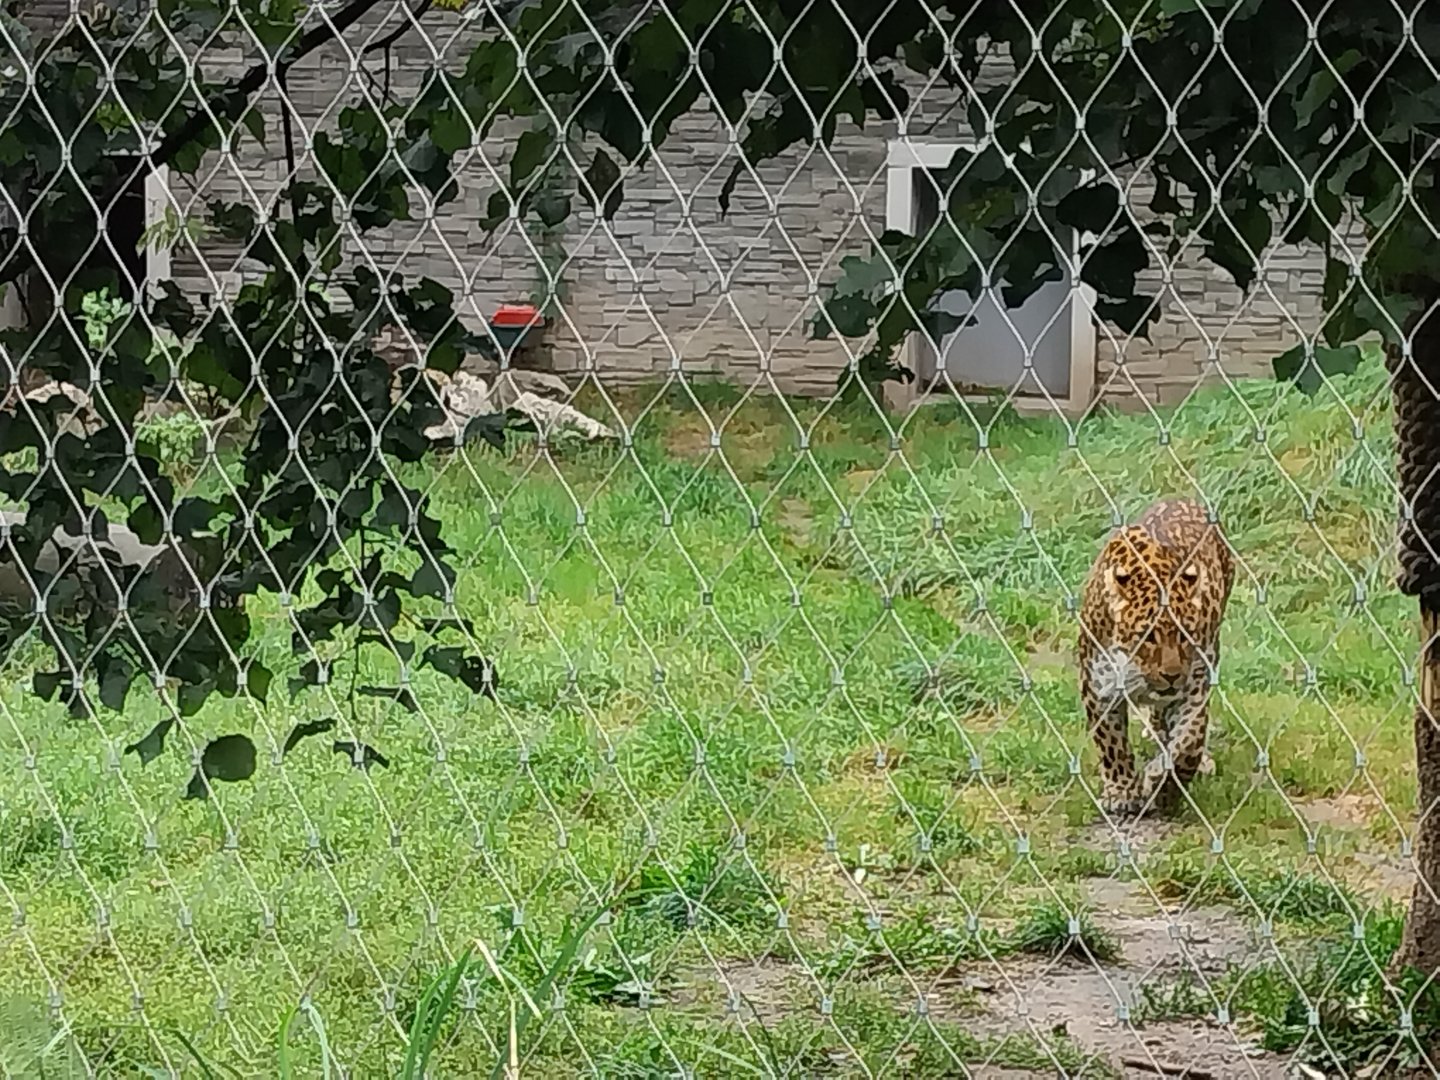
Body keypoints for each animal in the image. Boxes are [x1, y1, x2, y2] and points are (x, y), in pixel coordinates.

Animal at [1078, 498, 1234, 818]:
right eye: (1147, 637)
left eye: (1185, 635)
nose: (1171, 675)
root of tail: (1185, 498)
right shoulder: (1098, 687)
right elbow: (1111, 743)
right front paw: (1122, 792)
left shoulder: (1194, 686)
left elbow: (1188, 743)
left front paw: (1163, 789)